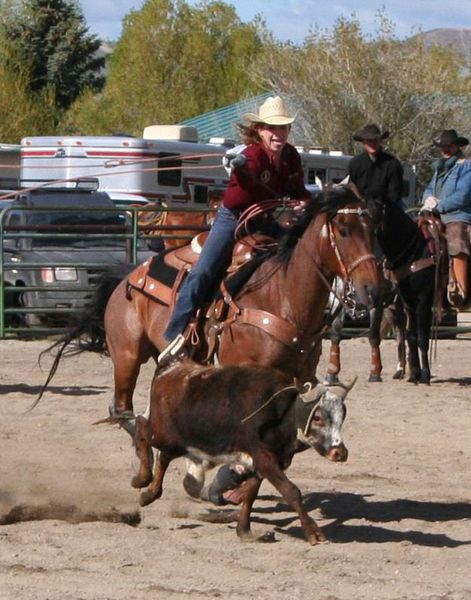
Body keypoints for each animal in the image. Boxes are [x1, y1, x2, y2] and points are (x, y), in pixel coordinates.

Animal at [38, 186, 382, 432]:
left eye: (373, 230)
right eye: (344, 230)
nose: (374, 288)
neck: (282, 298)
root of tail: (128, 277)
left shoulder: (300, 378)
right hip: (126, 356)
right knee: (122, 409)